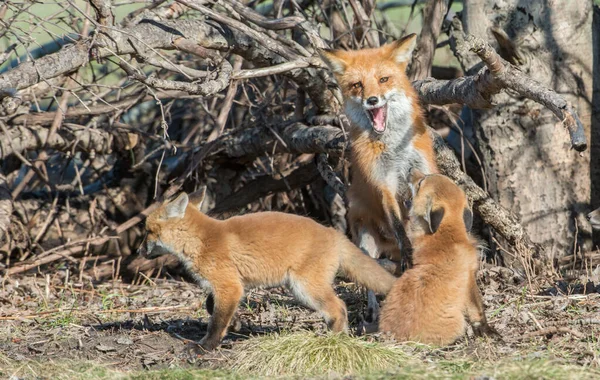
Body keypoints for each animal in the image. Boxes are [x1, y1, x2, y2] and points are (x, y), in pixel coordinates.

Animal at [138, 189, 396, 352]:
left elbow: (216, 321)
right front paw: (236, 324)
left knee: (339, 307)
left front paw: (205, 347)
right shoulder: (228, 285)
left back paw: (335, 341)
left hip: (305, 288)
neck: (201, 240)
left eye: (147, 231)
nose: (139, 251)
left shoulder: (229, 285)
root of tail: (334, 233)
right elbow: (212, 307)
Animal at [380, 171, 492, 346]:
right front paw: (485, 329)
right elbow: (477, 309)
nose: (410, 171)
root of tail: (396, 339)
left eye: (421, 182)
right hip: (458, 323)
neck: (446, 233)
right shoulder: (469, 276)